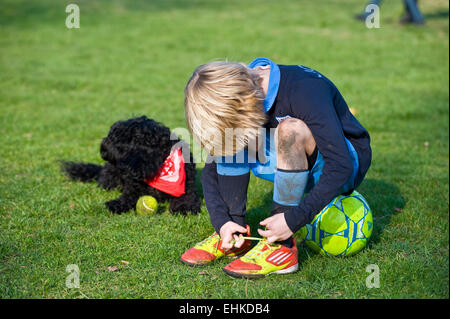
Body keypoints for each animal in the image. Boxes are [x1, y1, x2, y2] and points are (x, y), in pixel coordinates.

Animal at [61, 115, 200, 215]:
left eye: (116, 139)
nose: (103, 147)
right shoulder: (133, 190)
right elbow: (127, 198)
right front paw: (117, 204)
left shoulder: (187, 189)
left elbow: (186, 198)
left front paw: (184, 207)